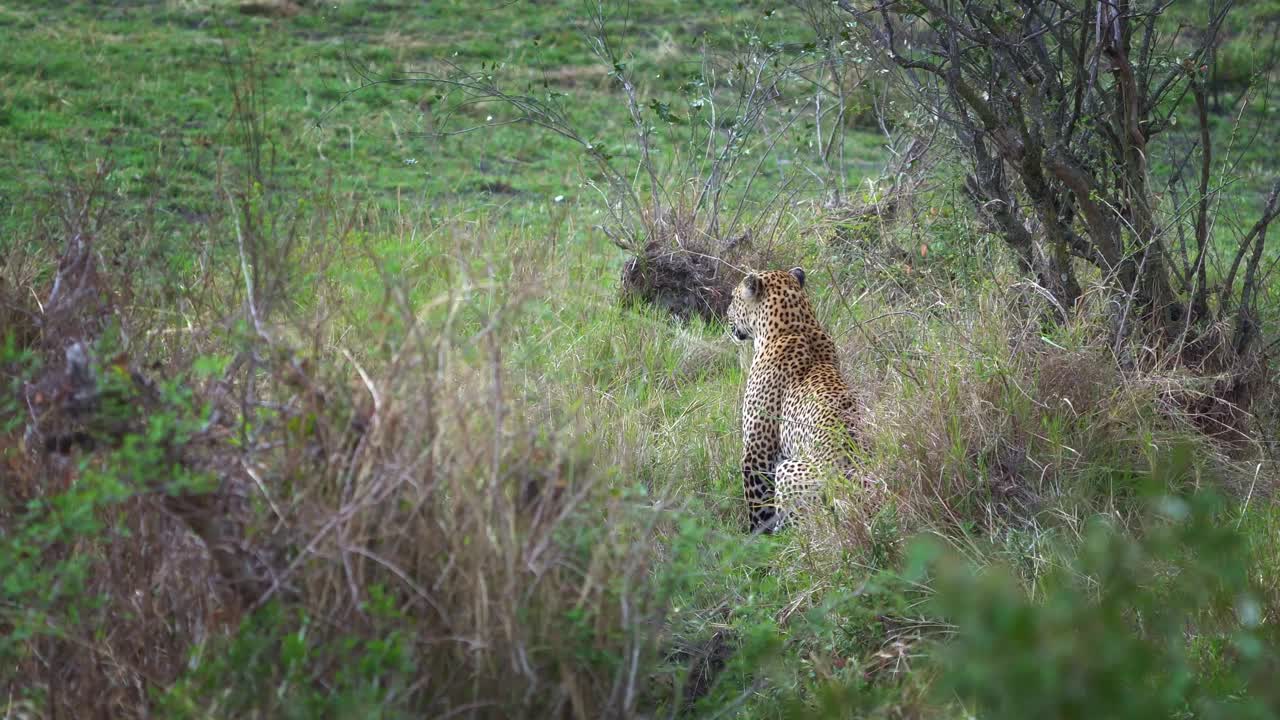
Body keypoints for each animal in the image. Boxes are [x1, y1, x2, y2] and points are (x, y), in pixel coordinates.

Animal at [727, 266, 865, 530]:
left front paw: (754, 535)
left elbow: (758, 505)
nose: (725, 315)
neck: (798, 325)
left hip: (788, 470)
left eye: (733, 298)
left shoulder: (758, 449)